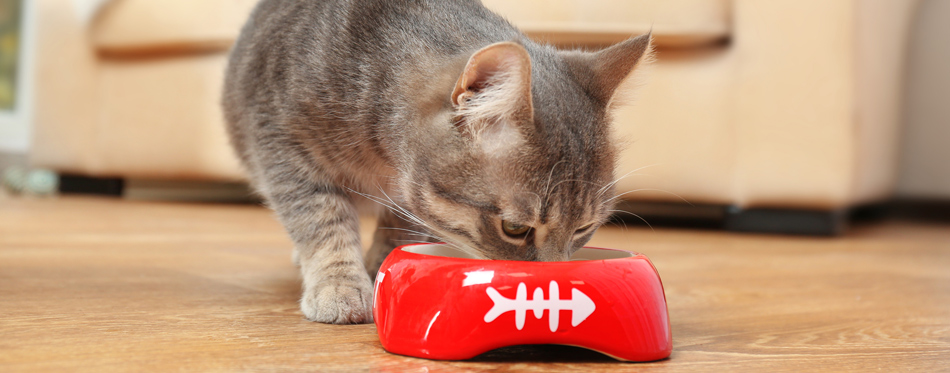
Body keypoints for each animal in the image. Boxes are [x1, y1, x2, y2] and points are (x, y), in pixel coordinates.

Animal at [223, 0, 656, 322]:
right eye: (515, 229)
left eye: (584, 228)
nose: (551, 281)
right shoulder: (281, 145)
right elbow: (321, 219)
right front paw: (340, 284)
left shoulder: (404, 196)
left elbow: (400, 228)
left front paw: (385, 266)